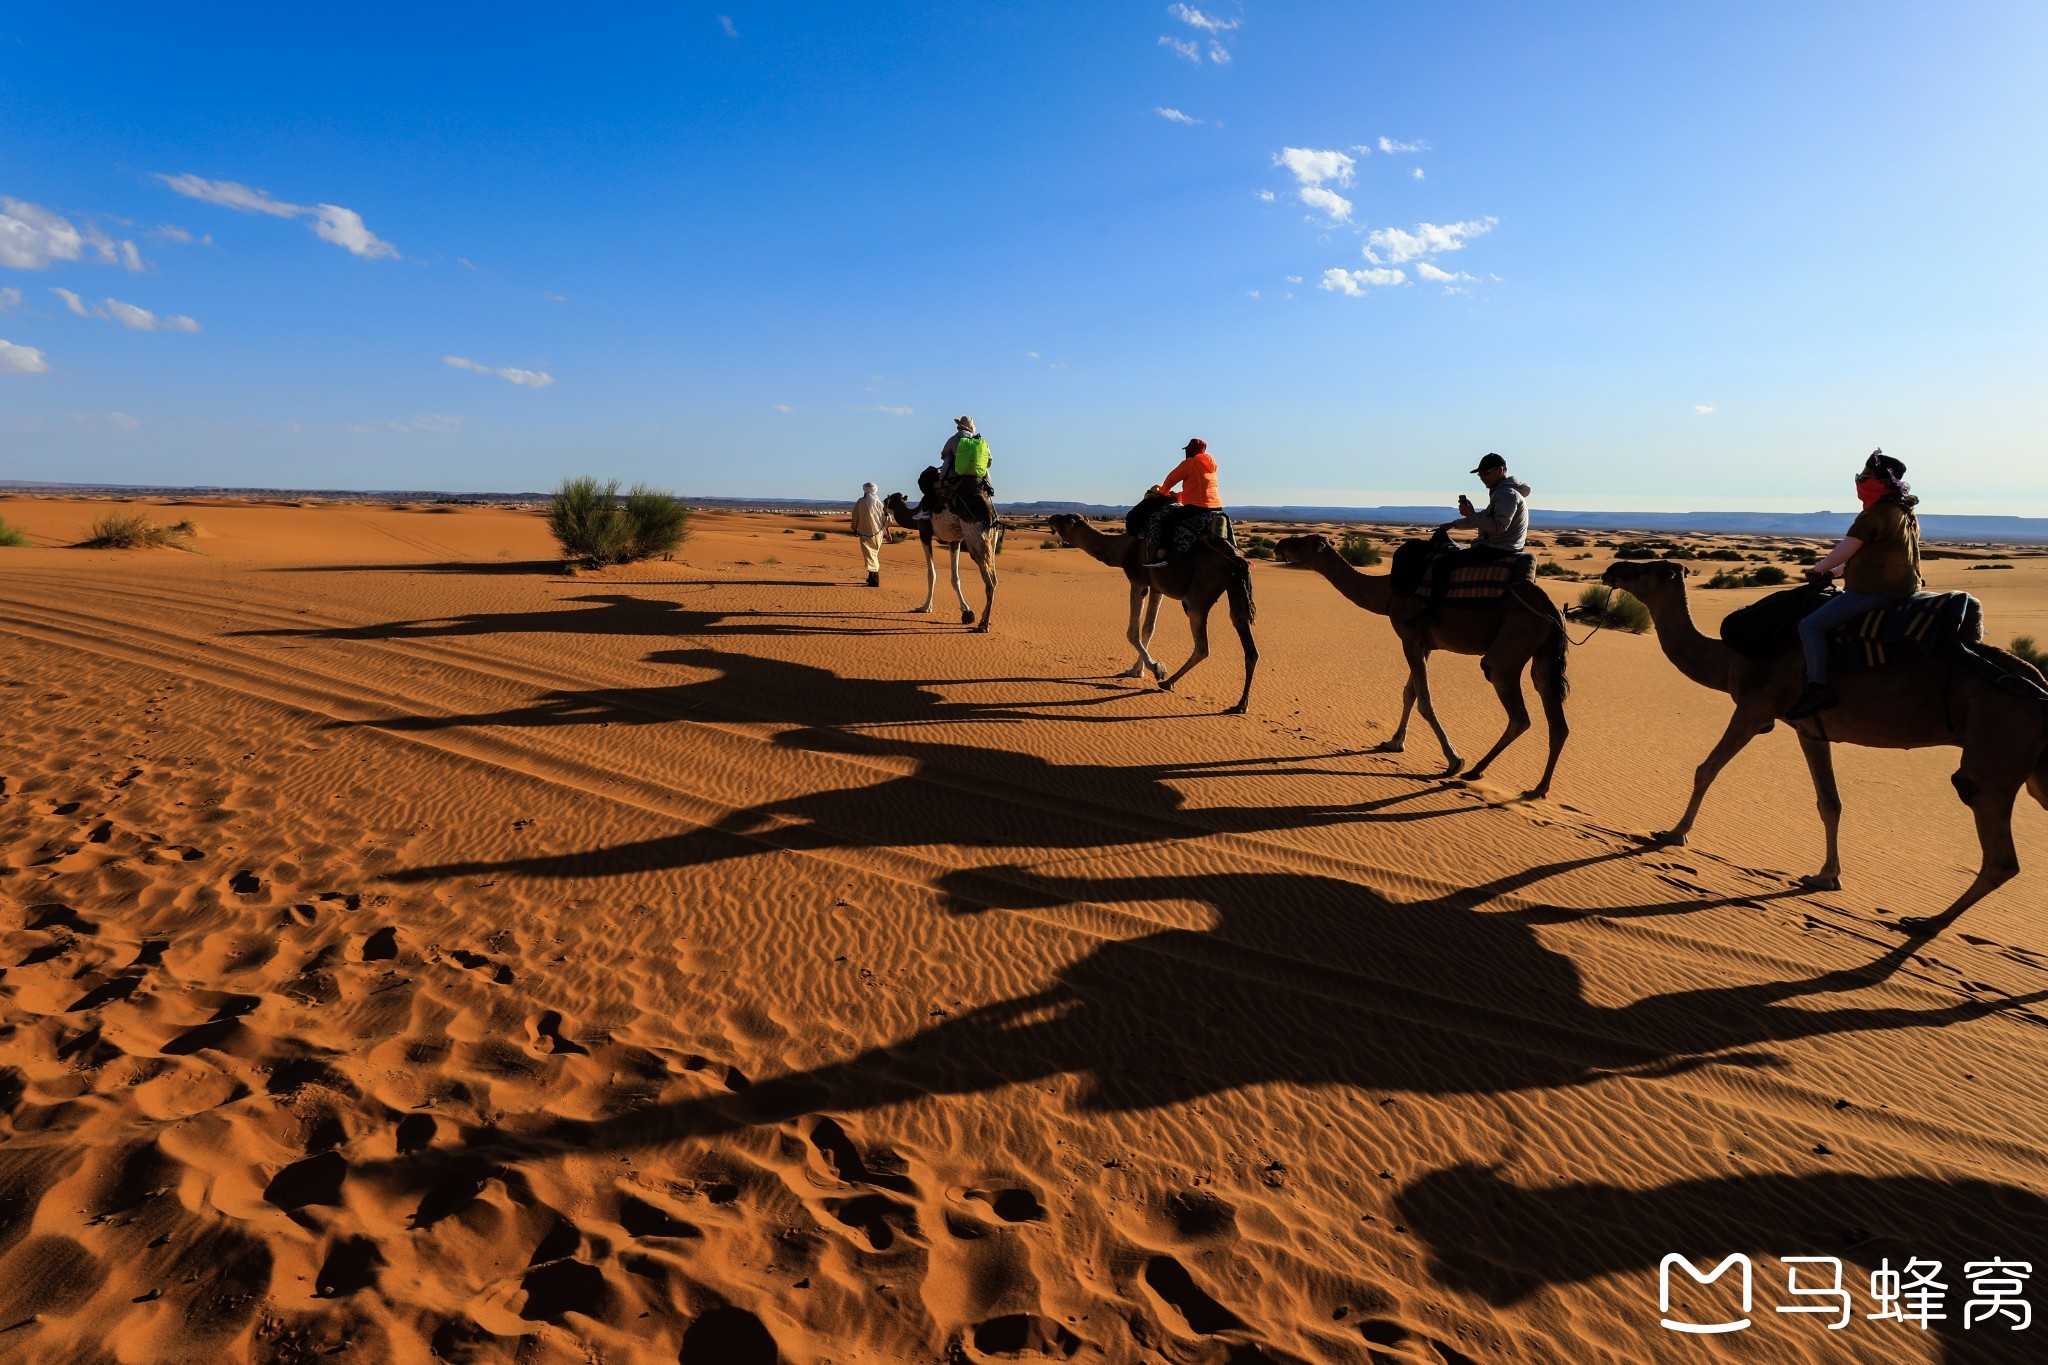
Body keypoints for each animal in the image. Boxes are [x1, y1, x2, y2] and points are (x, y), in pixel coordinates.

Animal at [880, 491, 999, 630]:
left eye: (886, 500)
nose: (883, 508)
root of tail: (989, 513)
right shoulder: (954, 540)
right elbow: (955, 578)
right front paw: (965, 609)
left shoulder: (924, 532)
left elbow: (931, 574)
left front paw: (925, 607)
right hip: (992, 541)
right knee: (994, 579)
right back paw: (984, 620)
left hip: (974, 539)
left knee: (989, 582)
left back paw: (983, 625)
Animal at [1048, 511, 1253, 716]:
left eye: (1064, 519)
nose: (1050, 518)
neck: (1122, 549)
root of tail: (1237, 559)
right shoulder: (1156, 587)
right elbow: (1148, 628)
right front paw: (1136, 671)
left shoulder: (1138, 581)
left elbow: (1132, 632)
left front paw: (1156, 667)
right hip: (1235, 590)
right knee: (1248, 643)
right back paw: (1241, 705)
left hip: (1198, 596)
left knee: (1202, 646)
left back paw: (1168, 682)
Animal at [1269, 527, 1572, 794]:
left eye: (1301, 543)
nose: (1279, 545)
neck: (1389, 592)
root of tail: (1552, 609)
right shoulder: (1424, 644)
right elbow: (1410, 692)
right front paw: (1394, 742)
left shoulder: (1410, 638)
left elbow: (1424, 700)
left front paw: (1453, 760)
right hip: (1543, 653)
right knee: (1554, 714)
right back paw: (1538, 788)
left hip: (1512, 645)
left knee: (1517, 711)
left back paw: (1474, 770)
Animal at [1597, 560, 2048, 933]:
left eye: (1651, 569)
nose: (1614, 567)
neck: (1729, 659)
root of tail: (2040, 688)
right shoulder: (1809, 728)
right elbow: (1829, 802)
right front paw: (1826, 876)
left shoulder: (1754, 708)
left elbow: (1706, 769)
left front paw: (1673, 833)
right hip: (2031, 769)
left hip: (1997, 747)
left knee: (1997, 848)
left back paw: (1925, 923)